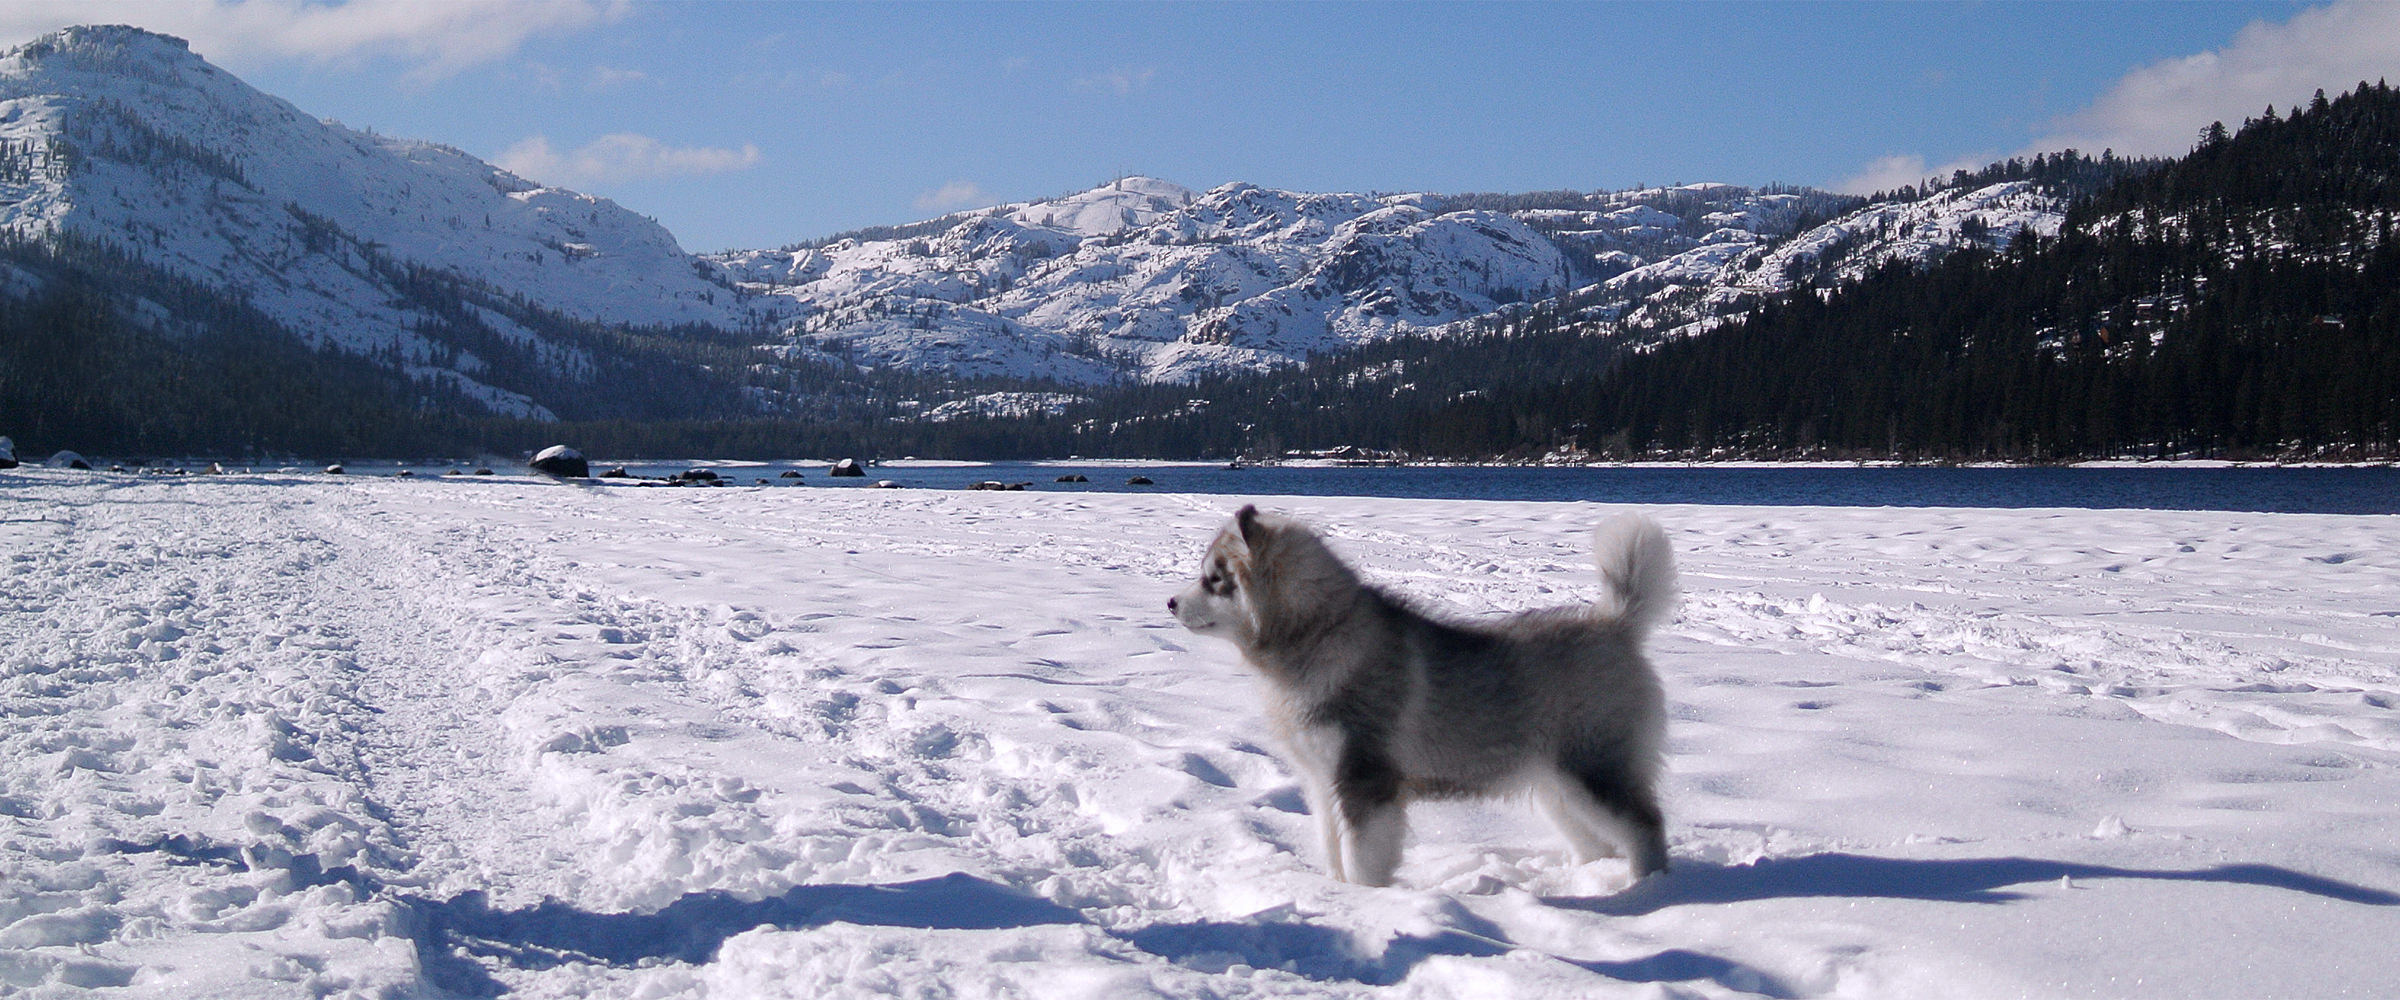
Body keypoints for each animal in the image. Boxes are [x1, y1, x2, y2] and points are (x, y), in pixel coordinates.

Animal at [1166, 503, 1670, 882]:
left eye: (1213, 579)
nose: (1169, 603)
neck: (1318, 636)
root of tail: (1615, 624)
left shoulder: (1366, 780)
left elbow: (1361, 859)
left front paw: (1365, 901)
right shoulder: (1321, 781)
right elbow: (1332, 848)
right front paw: (1334, 893)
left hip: (1592, 771)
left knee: (1645, 827)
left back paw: (1649, 893)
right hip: (1555, 785)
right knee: (1599, 842)